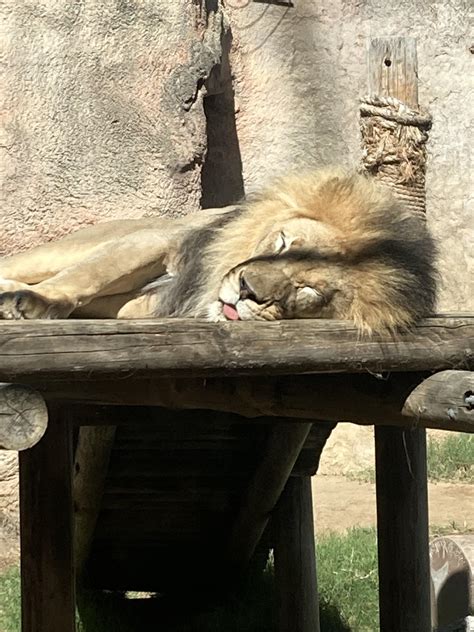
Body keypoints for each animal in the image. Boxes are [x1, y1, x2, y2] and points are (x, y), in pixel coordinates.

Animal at [0, 168, 436, 336]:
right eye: (282, 243)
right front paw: (34, 302)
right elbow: (87, 276)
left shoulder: (151, 305)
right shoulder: (158, 243)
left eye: (308, 292)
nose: (247, 291)